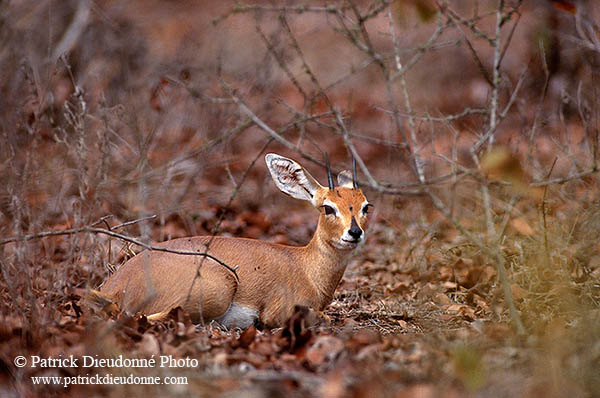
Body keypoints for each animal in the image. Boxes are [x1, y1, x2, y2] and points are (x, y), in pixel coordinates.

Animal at [92, 154, 372, 328]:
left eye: (366, 206)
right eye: (328, 207)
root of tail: (114, 286)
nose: (354, 232)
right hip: (218, 289)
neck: (307, 269)